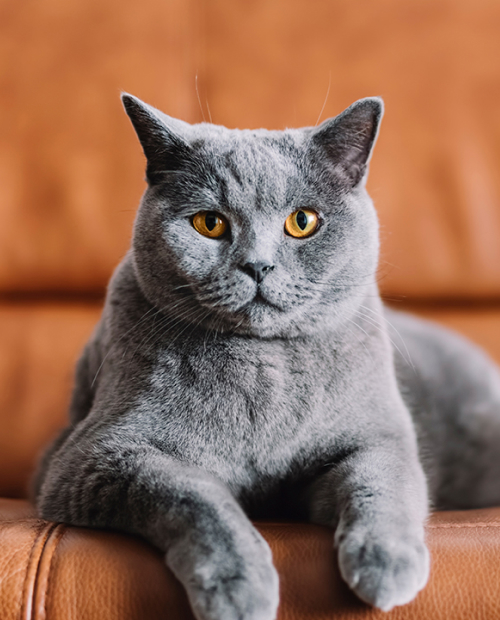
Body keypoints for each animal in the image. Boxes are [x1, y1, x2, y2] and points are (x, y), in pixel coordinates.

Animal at [33, 93, 500, 620]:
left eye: (303, 222)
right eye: (209, 222)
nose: (257, 265)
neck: (266, 366)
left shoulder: (378, 436)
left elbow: (384, 481)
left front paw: (387, 565)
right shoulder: (97, 455)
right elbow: (191, 495)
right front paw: (240, 589)